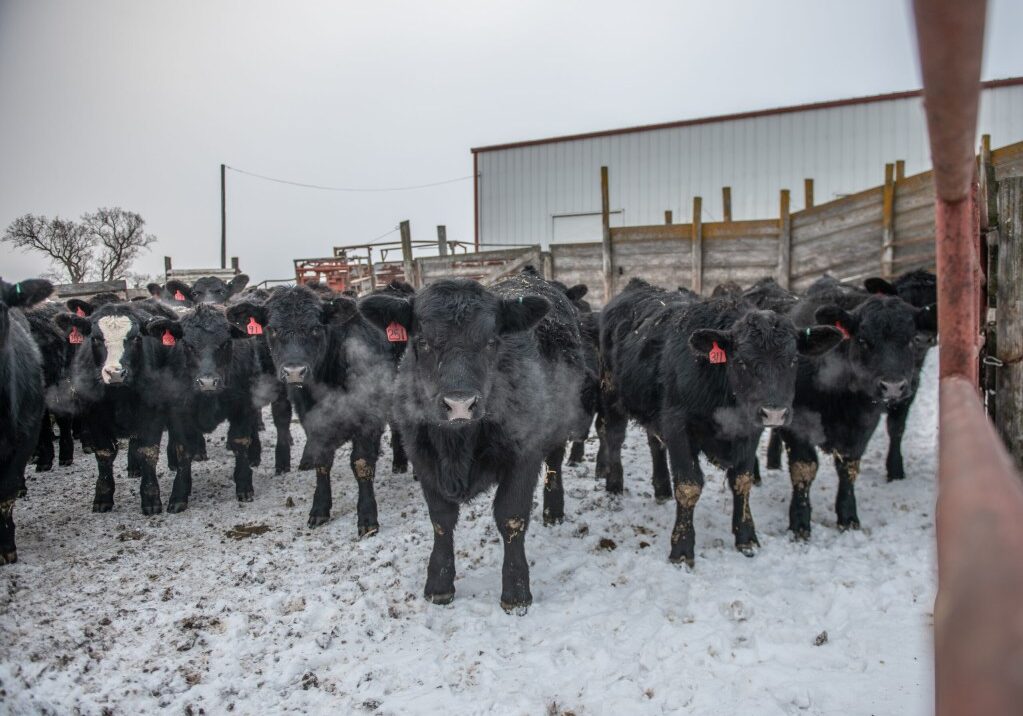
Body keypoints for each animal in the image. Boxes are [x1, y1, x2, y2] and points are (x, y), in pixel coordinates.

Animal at [144, 305, 262, 511]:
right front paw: (179, 494)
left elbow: (240, 442)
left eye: (225, 342)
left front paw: (244, 485)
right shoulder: (180, 411)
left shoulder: (243, 405)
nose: (207, 382)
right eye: (188, 344)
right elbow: (184, 450)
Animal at [226, 286, 393, 534]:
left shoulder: (367, 414)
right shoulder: (312, 418)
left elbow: (362, 463)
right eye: (272, 329)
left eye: (315, 328)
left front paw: (367, 517)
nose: (294, 371)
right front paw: (319, 509)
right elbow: (321, 461)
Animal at [358, 272, 589, 612]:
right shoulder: (422, 456)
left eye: (492, 341)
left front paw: (516, 591)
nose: (459, 404)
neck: (457, 445)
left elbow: (511, 517)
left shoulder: (524, 454)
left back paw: (553, 511)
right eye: (422, 341)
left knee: (555, 464)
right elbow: (441, 519)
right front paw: (439, 584)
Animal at [601, 279, 842, 565]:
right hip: (611, 393)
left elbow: (742, 481)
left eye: (794, 359)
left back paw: (661, 490)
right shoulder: (677, 425)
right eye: (741, 361)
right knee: (614, 438)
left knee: (654, 443)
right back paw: (614, 488)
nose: (774, 412)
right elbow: (689, 485)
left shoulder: (750, 430)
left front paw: (747, 538)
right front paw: (682, 549)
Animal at [774, 276, 937, 537]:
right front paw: (799, 522)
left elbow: (849, 467)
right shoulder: (796, 423)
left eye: (910, 339)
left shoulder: (864, 422)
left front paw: (848, 517)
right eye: (863, 340)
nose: (892, 386)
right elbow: (804, 468)